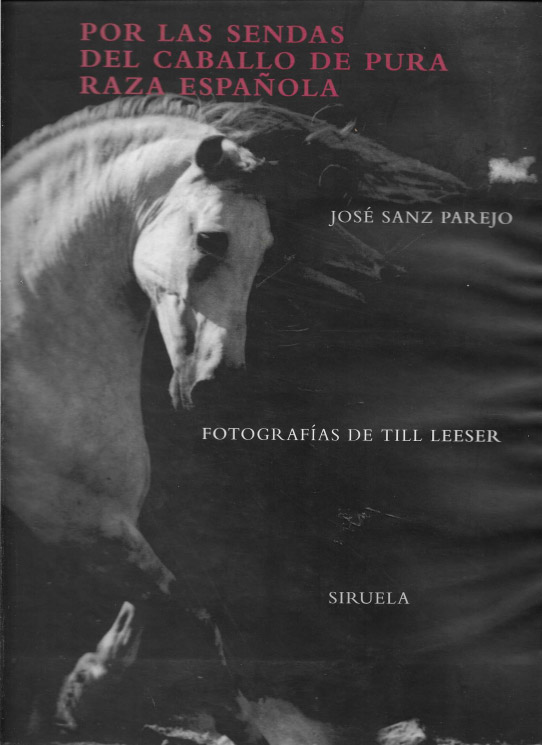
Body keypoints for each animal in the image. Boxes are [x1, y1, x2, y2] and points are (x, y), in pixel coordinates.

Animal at [2, 96, 465, 736]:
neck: (28, 348)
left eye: (266, 249)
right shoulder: (84, 525)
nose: (220, 386)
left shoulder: (104, 535)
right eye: (211, 239)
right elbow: (200, 632)